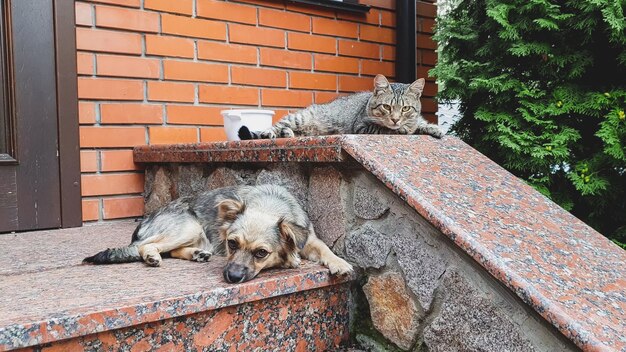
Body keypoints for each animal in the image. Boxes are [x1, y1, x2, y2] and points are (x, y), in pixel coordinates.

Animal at [83, 184, 354, 284]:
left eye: (261, 253)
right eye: (232, 244)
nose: (231, 277)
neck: (270, 204)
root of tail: (146, 220)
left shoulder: (310, 239)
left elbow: (325, 248)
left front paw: (340, 263)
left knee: (172, 250)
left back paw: (197, 254)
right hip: (189, 225)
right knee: (145, 246)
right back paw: (152, 256)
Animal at [236, 74, 442, 140]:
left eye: (406, 108)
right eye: (386, 107)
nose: (395, 119)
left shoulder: (414, 120)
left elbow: (420, 123)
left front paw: (433, 128)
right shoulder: (362, 126)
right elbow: (384, 129)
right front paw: (399, 129)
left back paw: (288, 134)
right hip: (299, 117)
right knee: (278, 124)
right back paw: (271, 133)